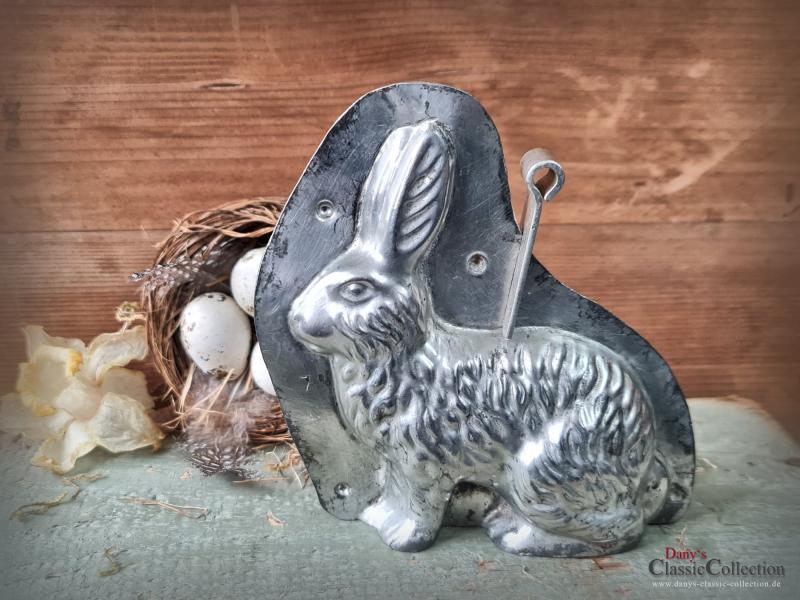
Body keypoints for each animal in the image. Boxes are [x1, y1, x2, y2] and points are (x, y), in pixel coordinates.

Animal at [288, 119, 673, 556]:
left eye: (355, 290)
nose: (295, 319)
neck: (404, 354)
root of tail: (643, 450)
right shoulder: (396, 462)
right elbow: (395, 495)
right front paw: (378, 517)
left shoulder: (421, 460)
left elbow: (420, 505)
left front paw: (404, 540)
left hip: (543, 471)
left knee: (622, 529)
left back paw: (517, 535)